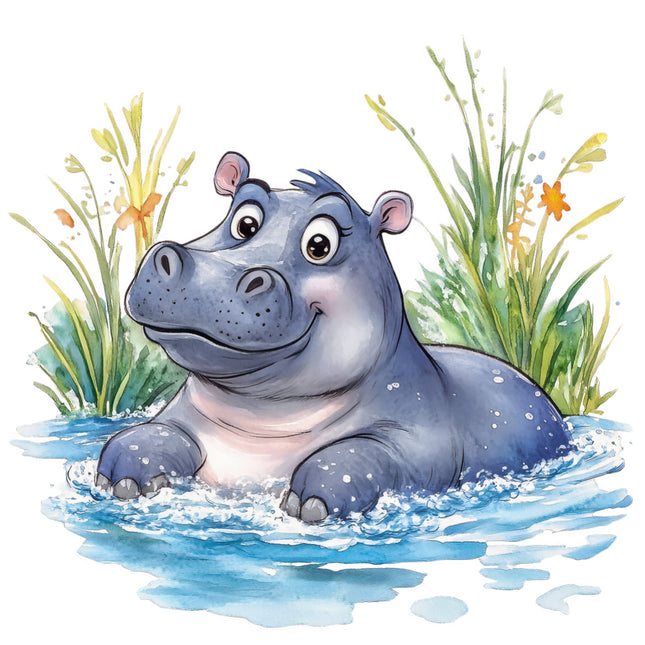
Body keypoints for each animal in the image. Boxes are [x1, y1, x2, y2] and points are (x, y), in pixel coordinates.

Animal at [96, 151, 572, 522]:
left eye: (320, 244)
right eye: (244, 221)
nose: (210, 271)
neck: (264, 417)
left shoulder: (424, 435)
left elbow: (368, 452)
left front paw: (310, 502)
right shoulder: (182, 415)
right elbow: (153, 433)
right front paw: (122, 474)